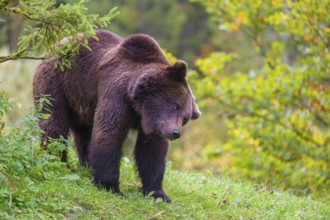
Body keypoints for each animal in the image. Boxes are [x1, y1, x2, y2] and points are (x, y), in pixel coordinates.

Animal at [32, 29, 201, 203]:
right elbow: (109, 134)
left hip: (82, 103)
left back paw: (86, 165)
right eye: (175, 106)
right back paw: (57, 160)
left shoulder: (154, 125)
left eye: (185, 117)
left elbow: (152, 151)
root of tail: (53, 47)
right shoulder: (116, 96)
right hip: (58, 83)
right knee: (54, 123)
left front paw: (158, 193)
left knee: (84, 133)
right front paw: (111, 186)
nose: (175, 133)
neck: (137, 104)